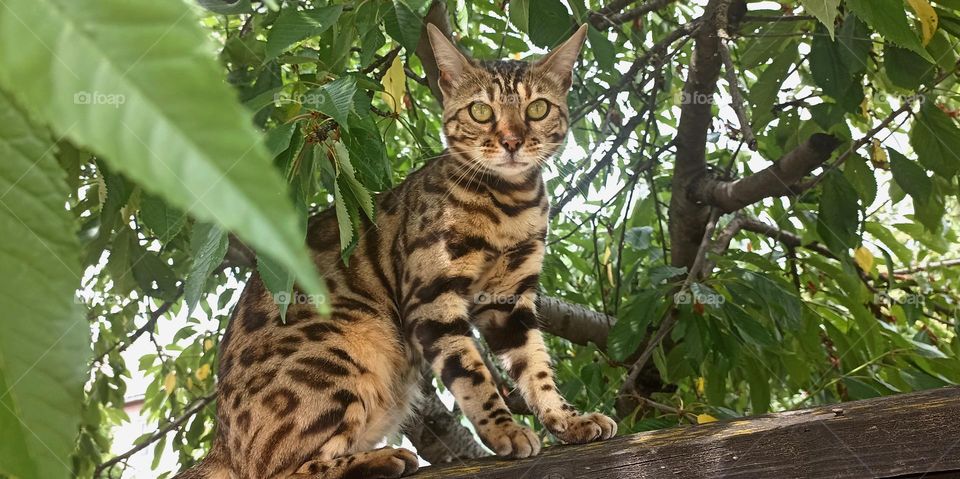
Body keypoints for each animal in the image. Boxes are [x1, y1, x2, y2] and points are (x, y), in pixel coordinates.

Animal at [174, 21, 616, 479]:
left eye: (537, 109)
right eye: (480, 111)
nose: (512, 141)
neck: (509, 206)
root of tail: (222, 443)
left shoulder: (508, 300)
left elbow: (536, 368)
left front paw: (568, 420)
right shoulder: (431, 297)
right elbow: (472, 374)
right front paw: (504, 431)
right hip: (343, 349)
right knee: (280, 469)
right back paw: (383, 458)